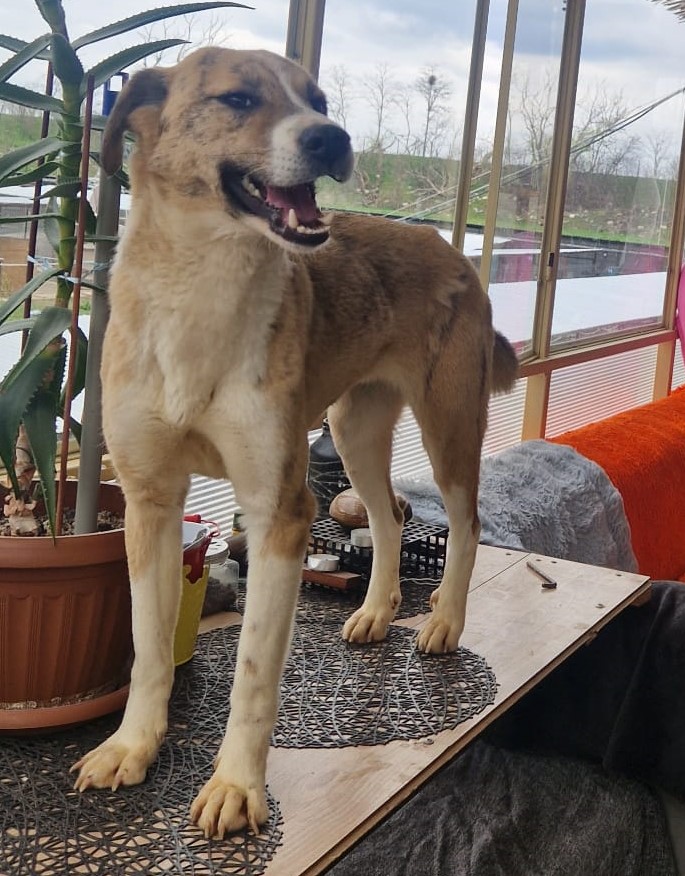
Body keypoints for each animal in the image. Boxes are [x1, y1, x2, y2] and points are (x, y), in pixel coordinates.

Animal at [71, 47, 518, 838]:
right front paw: (132, 746)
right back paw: (377, 611)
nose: (333, 138)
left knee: (464, 524)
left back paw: (442, 620)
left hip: (447, 424)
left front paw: (235, 787)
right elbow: (148, 647)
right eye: (238, 99)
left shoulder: (279, 509)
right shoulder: (150, 504)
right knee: (388, 517)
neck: (200, 285)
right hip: (353, 428)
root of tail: (446, 244)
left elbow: (253, 671)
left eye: (320, 100)